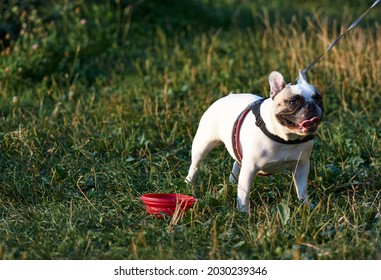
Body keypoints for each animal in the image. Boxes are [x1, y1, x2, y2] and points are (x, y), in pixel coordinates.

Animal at [186, 70, 322, 212]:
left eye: (319, 98)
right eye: (293, 102)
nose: (311, 105)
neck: (286, 139)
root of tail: (227, 96)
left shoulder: (301, 165)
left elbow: (302, 189)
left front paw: (306, 205)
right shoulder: (250, 168)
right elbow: (244, 193)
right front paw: (243, 211)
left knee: (236, 161)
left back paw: (232, 180)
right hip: (202, 144)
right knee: (195, 164)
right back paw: (189, 183)